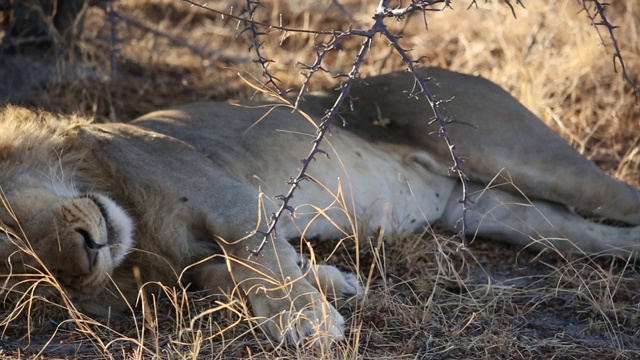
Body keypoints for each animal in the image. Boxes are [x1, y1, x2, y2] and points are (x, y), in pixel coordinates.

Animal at [1, 67, 640, 346]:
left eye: (13, 207)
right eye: (28, 263)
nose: (85, 254)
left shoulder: (232, 201)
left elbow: (262, 261)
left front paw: (306, 320)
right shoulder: (188, 266)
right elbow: (228, 279)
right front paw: (334, 283)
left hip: (523, 154)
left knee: (616, 196)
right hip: (489, 210)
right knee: (587, 234)